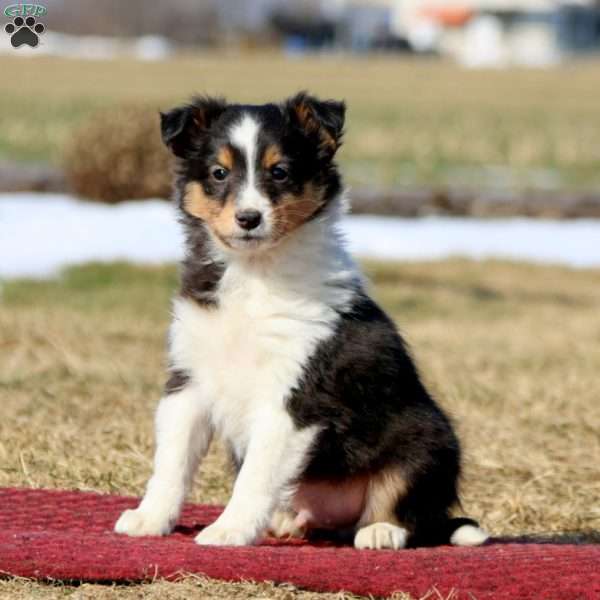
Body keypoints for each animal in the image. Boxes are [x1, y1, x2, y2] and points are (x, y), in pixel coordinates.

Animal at [113, 92, 488, 548]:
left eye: (280, 172)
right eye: (219, 173)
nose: (249, 218)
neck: (255, 272)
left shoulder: (294, 395)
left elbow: (255, 476)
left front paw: (230, 529)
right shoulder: (189, 380)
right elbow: (171, 462)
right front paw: (149, 518)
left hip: (427, 439)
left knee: (406, 506)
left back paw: (380, 531)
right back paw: (286, 523)